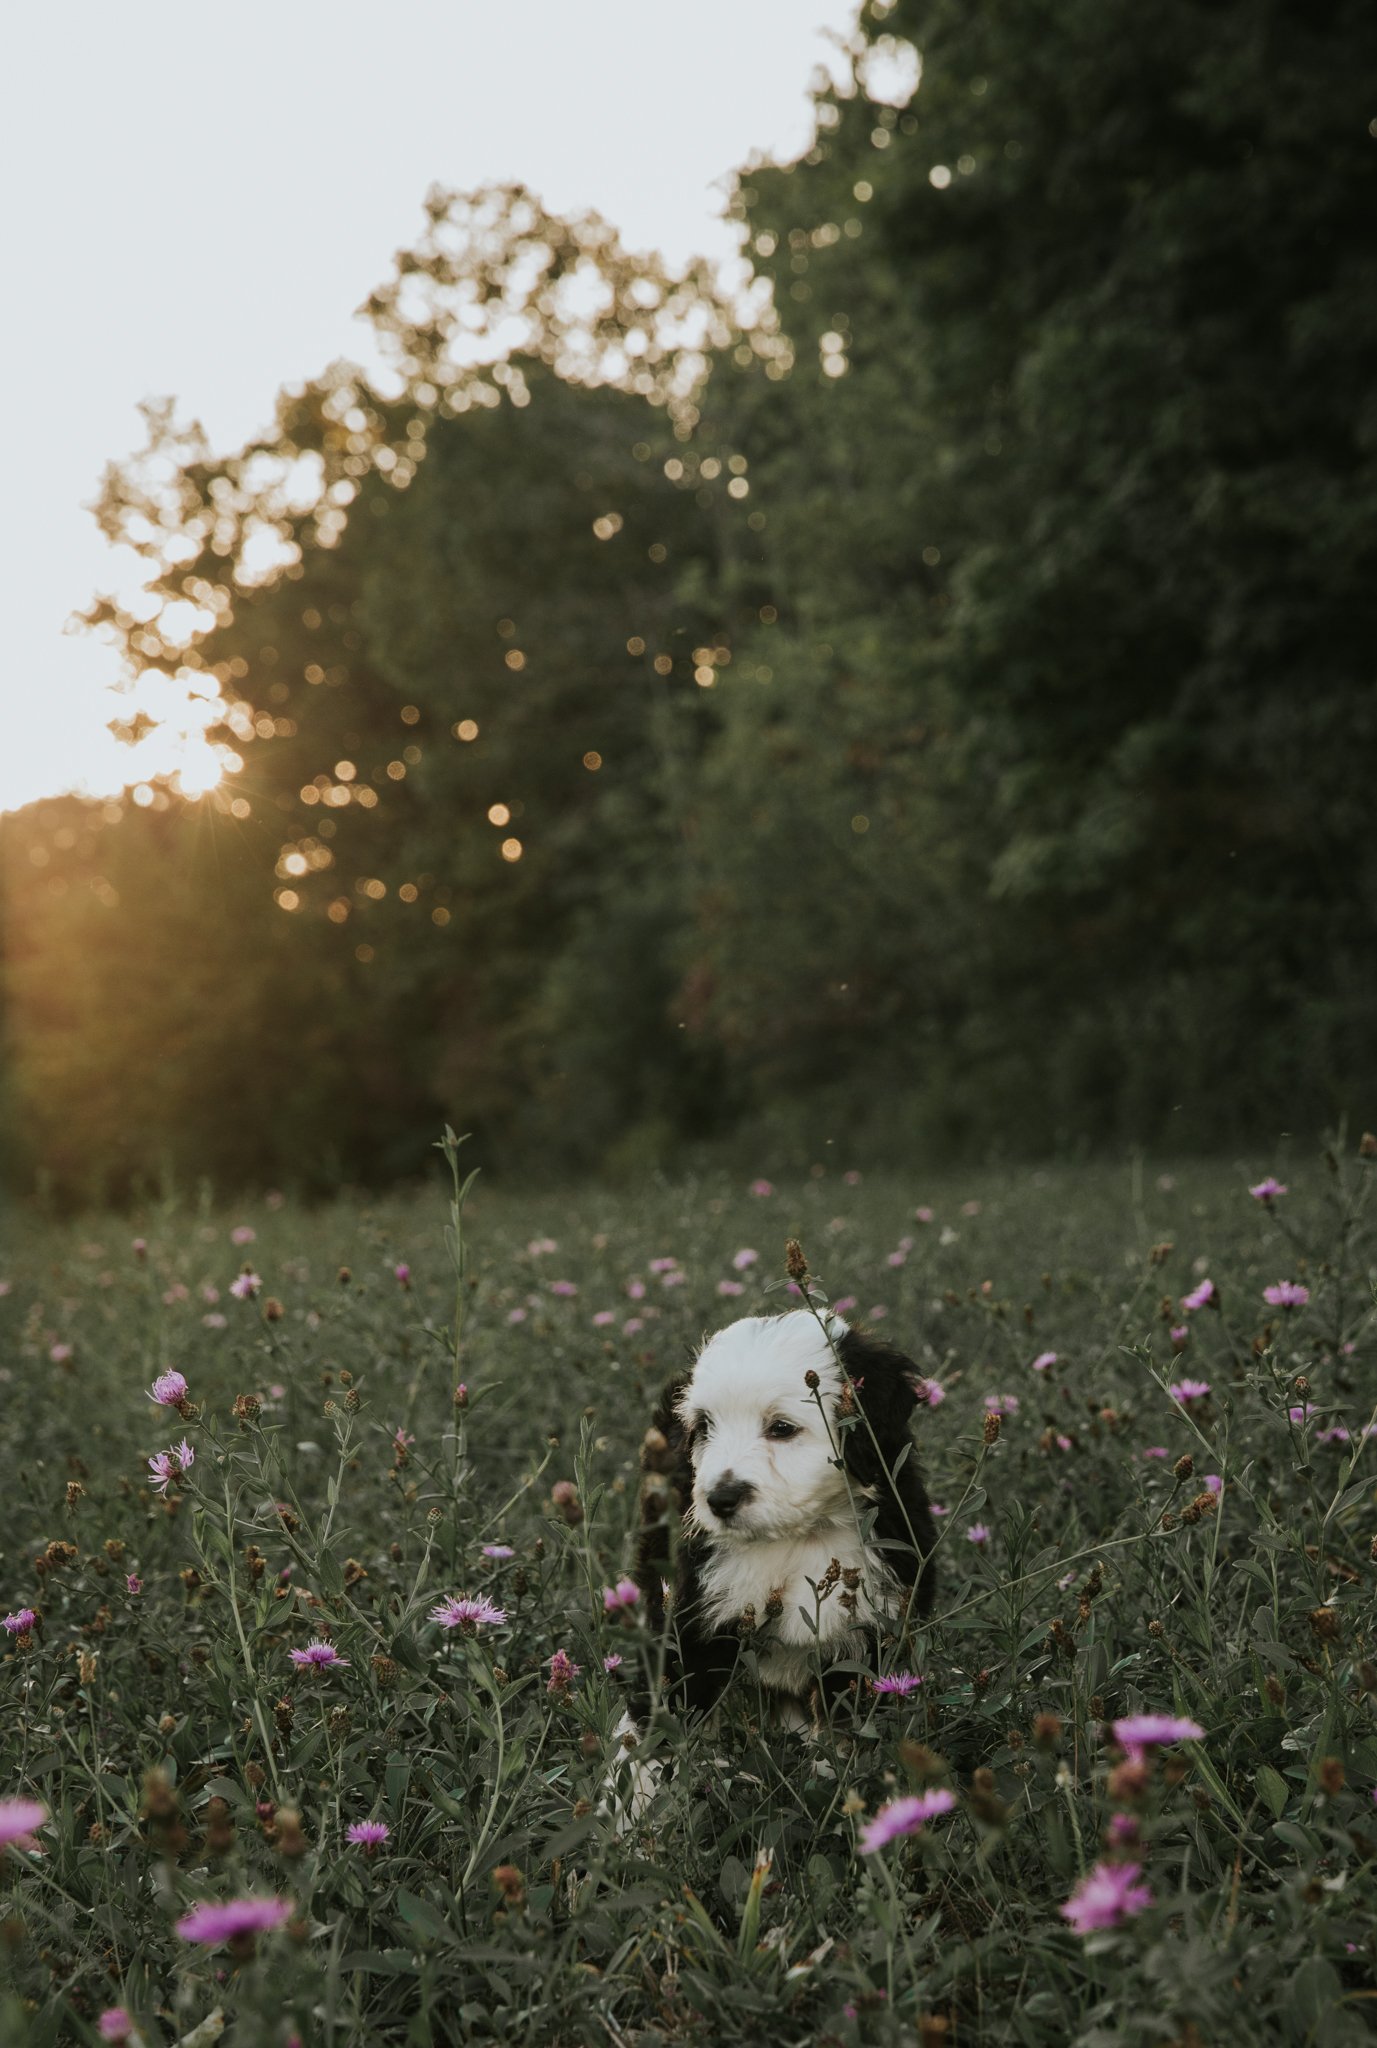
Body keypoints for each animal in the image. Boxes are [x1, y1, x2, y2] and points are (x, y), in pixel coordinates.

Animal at [631, 1310, 934, 1728]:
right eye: (706, 1426)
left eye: (781, 1428)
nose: (720, 1499)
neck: (797, 1540)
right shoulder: (693, 1616)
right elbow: (668, 1696)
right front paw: (636, 1747)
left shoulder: (874, 1629)